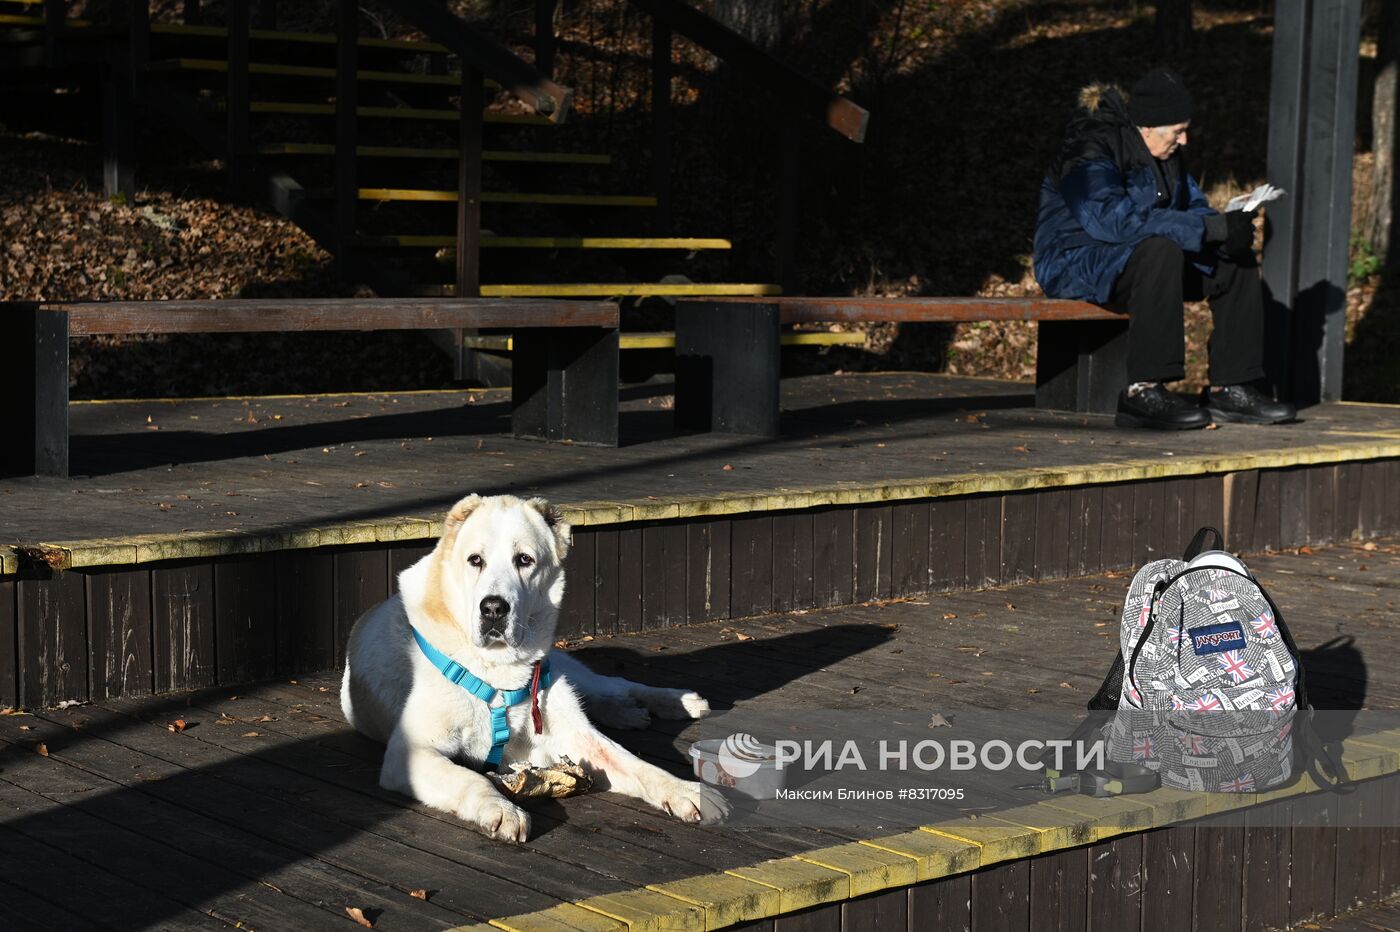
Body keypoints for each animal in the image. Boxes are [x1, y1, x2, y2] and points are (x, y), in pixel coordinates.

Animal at [341, 492, 733, 839]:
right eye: (475, 560)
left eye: (524, 560)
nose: (493, 608)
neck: (497, 669)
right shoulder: (411, 753)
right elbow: (469, 777)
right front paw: (500, 808)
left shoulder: (575, 737)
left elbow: (636, 763)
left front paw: (685, 790)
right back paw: (628, 713)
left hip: (564, 671)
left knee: (613, 684)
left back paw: (674, 701)